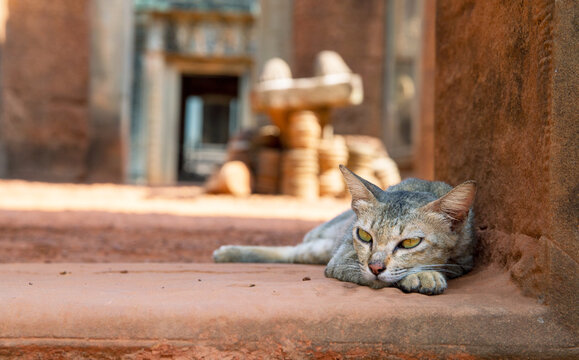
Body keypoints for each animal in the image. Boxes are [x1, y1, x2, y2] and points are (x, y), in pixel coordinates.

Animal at [213, 166, 476, 296]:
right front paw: (422, 276)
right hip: (323, 245)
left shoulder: (464, 260)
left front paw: (424, 274)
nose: (375, 267)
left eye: (410, 243)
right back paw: (228, 253)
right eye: (364, 235)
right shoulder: (342, 261)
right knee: (294, 250)